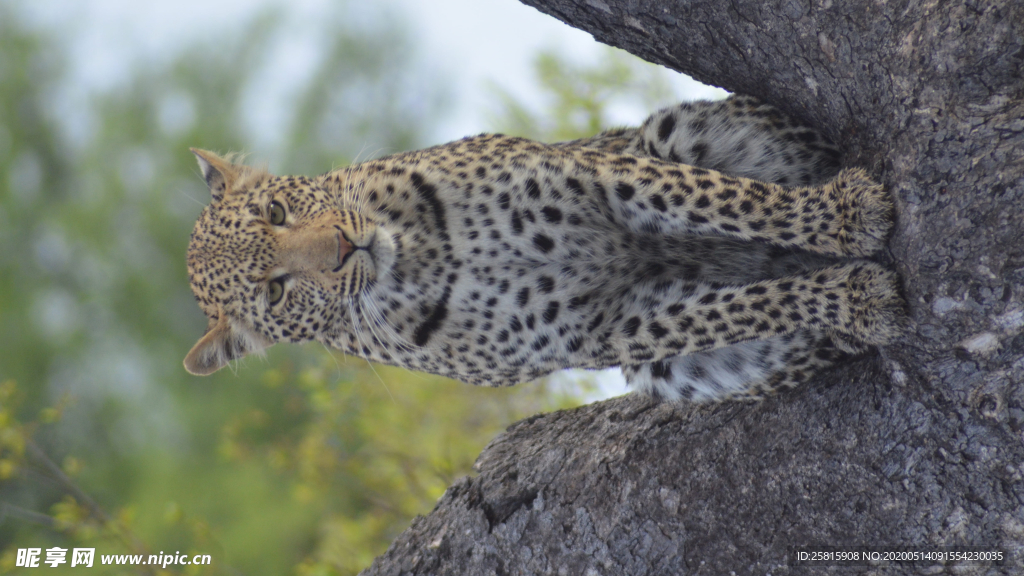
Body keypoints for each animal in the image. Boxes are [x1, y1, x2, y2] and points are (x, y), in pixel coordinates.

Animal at [184, 95, 905, 399]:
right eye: (276, 290)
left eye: (277, 212)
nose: (342, 248)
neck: (418, 253)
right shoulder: (610, 329)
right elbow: (743, 309)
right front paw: (856, 297)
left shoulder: (602, 177)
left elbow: (730, 202)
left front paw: (845, 215)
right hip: (671, 375)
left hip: (670, 131)